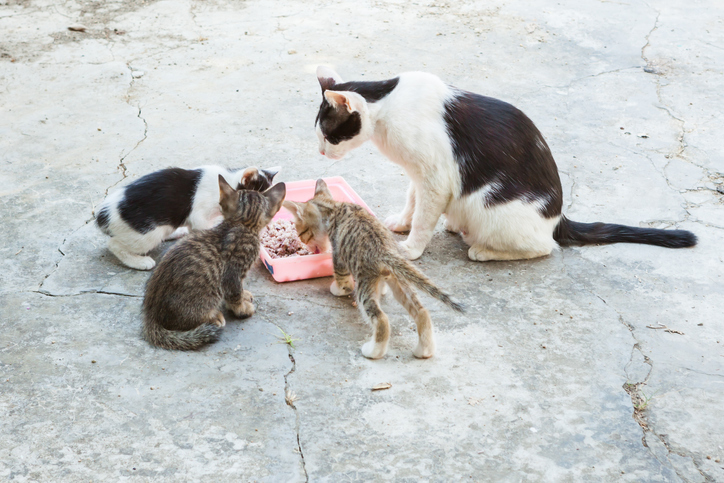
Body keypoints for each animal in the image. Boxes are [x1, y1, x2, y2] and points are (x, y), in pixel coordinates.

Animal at [141, 178, 286, 352]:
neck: (242, 224)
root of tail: (151, 315)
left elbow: (240, 290)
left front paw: (244, 295)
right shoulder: (233, 273)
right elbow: (235, 293)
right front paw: (242, 309)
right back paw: (214, 316)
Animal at [282, 179, 464, 360]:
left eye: (301, 233)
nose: (304, 243)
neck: (333, 208)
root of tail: (384, 250)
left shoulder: (339, 257)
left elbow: (344, 282)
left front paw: (336, 289)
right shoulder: (382, 276)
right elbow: (382, 286)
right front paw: (382, 290)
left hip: (364, 282)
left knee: (381, 318)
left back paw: (373, 351)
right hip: (397, 278)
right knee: (421, 310)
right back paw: (424, 350)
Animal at [312, 66, 696, 262]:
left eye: (328, 136)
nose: (320, 153)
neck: (387, 109)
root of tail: (558, 217)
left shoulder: (435, 178)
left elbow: (423, 216)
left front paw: (411, 248)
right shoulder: (419, 174)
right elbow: (412, 201)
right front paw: (401, 223)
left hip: (491, 206)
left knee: (545, 248)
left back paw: (484, 250)